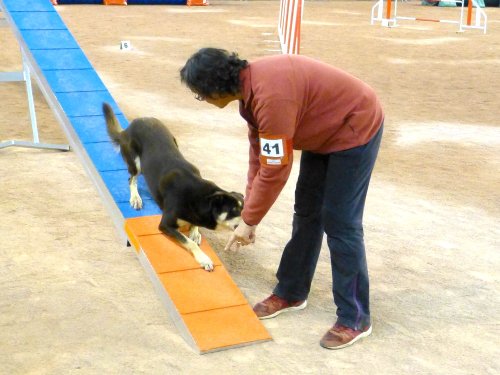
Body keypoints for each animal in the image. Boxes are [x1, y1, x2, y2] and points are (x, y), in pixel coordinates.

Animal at [101, 103, 242, 274]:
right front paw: (204, 259)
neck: (200, 198)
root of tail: (128, 128)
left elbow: (194, 230)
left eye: (243, 209)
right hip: (135, 162)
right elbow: (189, 242)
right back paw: (136, 198)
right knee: (131, 179)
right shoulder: (166, 224)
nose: (248, 231)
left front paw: (195, 232)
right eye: (234, 210)